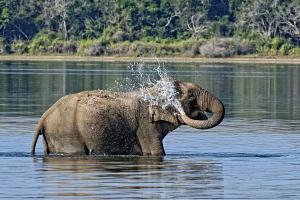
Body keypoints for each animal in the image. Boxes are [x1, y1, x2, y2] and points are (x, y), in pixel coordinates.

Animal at [31, 79, 224, 156]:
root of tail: (44, 117)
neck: (153, 92)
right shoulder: (146, 126)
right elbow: (156, 153)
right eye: (191, 96)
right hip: (67, 133)